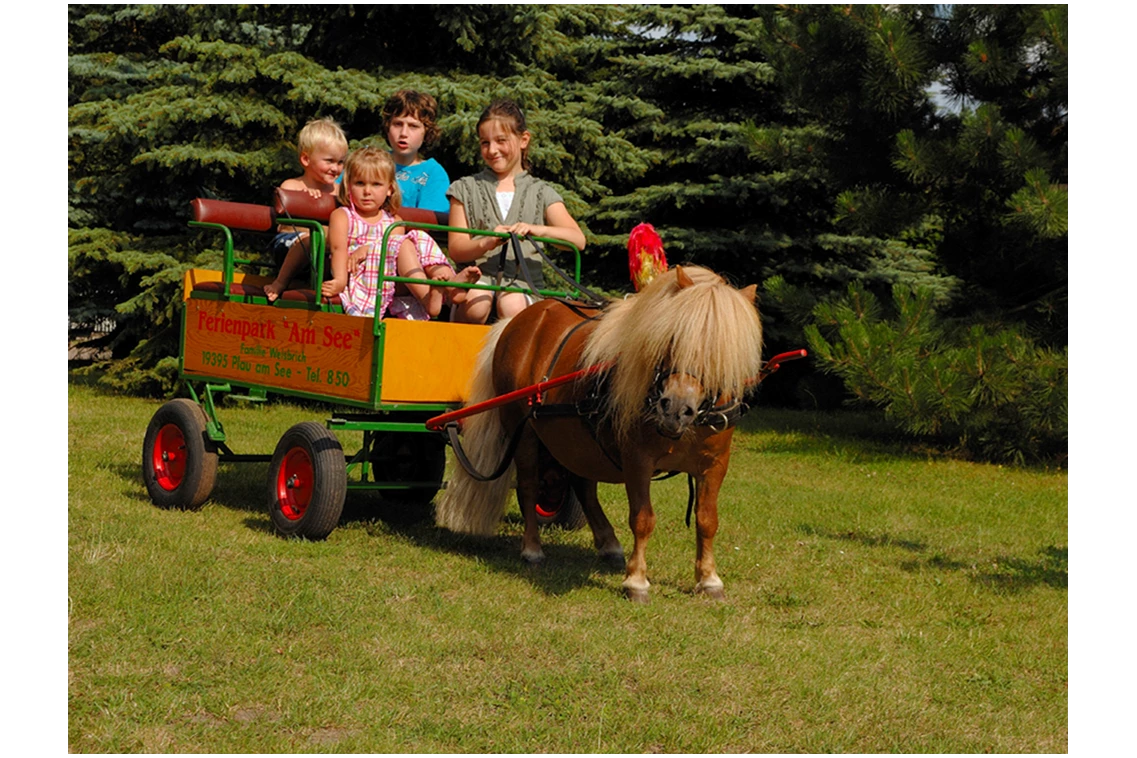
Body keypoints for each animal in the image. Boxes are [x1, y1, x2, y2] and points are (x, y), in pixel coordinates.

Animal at [436, 267, 764, 604]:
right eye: (672, 337)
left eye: (721, 351)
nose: (674, 408)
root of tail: (516, 320)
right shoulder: (637, 461)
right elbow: (643, 519)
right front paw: (636, 581)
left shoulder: (715, 464)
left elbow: (707, 520)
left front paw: (709, 579)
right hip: (522, 429)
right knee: (529, 486)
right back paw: (532, 549)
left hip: (578, 440)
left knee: (583, 486)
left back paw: (608, 544)